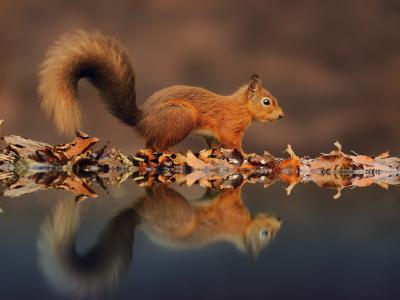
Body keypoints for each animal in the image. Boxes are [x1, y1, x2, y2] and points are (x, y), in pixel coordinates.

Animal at [38, 30, 284, 152]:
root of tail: (143, 120)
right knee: (156, 145)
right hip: (180, 117)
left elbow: (215, 145)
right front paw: (245, 155)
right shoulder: (230, 125)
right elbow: (233, 142)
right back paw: (168, 154)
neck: (242, 106)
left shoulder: (212, 135)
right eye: (267, 101)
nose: (281, 116)